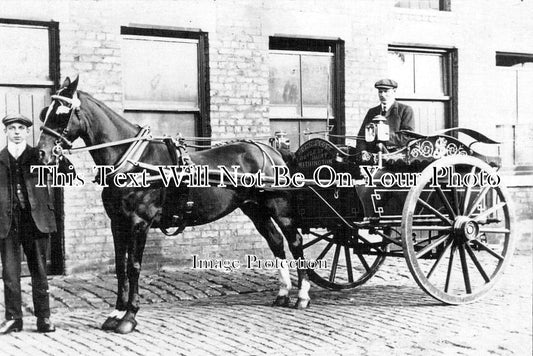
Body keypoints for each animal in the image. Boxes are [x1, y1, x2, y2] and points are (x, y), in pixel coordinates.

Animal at [36, 76, 312, 336]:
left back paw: (302, 295)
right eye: (45, 112)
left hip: (279, 208)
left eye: (61, 114)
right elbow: (120, 267)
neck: (133, 161)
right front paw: (115, 313)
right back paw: (283, 293)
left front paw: (129, 317)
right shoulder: (118, 223)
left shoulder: (139, 223)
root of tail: (272, 151)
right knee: (275, 241)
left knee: (294, 242)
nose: (42, 154)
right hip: (255, 209)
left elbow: (134, 267)